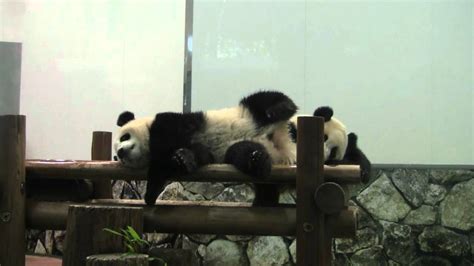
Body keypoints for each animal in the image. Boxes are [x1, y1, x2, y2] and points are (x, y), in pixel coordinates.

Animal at [115, 91, 298, 206]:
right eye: (116, 156)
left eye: (124, 137)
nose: (120, 152)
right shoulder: (205, 149)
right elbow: (200, 154)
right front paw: (183, 159)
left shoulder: (169, 124)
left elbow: (163, 150)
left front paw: (150, 192)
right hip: (239, 147)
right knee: (242, 152)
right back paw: (258, 161)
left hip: (249, 114)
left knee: (263, 100)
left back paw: (279, 108)